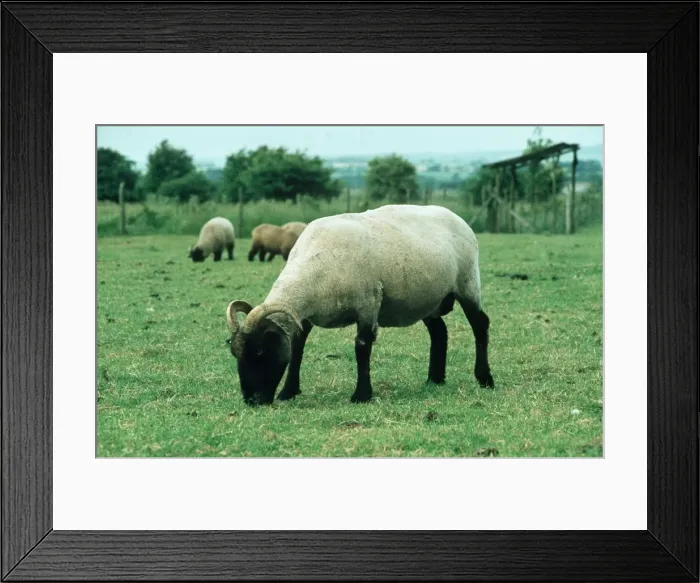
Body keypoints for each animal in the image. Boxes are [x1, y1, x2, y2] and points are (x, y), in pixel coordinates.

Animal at [226, 204, 494, 406]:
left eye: (260, 352)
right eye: (235, 353)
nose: (251, 401)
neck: (314, 268)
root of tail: (457, 217)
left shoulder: (368, 304)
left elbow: (362, 347)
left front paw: (361, 395)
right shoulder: (304, 317)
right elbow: (297, 348)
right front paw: (288, 392)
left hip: (468, 284)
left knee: (480, 325)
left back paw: (485, 379)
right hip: (428, 299)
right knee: (439, 332)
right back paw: (434, 380)